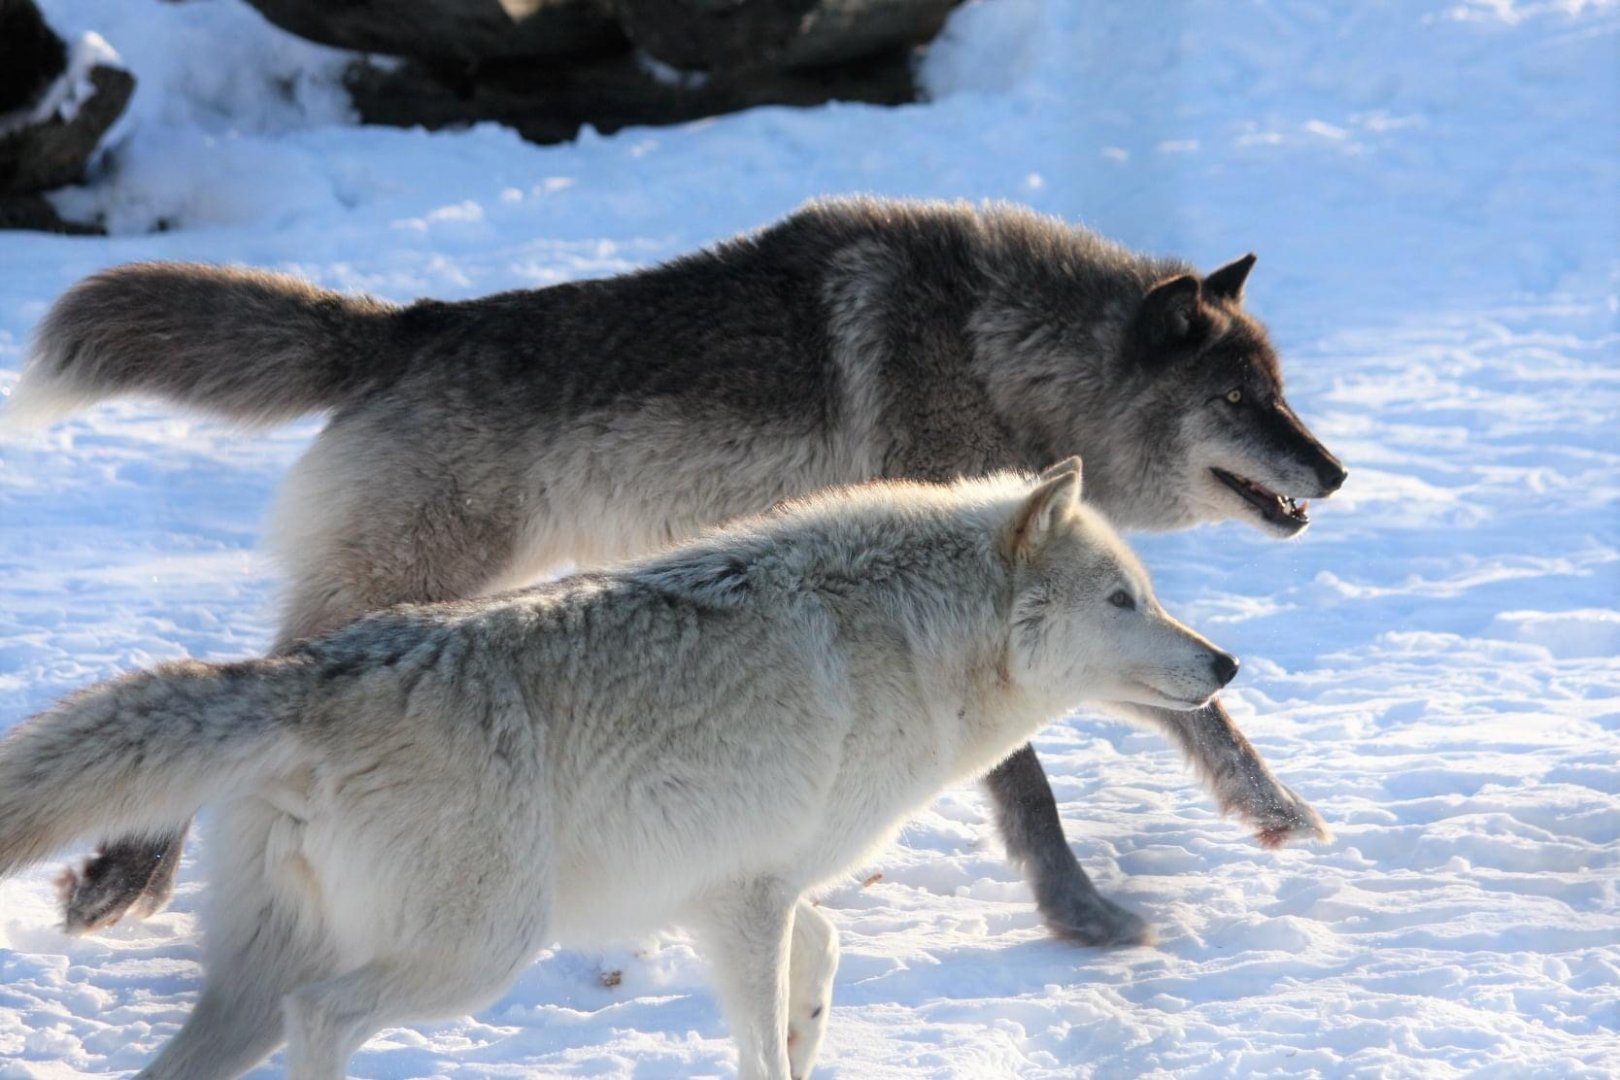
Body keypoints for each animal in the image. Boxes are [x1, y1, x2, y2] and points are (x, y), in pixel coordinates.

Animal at [0, 464, 1239, 1080]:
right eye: (1124, 600)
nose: (1226, 662)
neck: (909, 637)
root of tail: (304, 674)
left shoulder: (742, 892)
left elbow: (820, 961)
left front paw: (814, 1027)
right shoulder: (745, 900)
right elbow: (761, 1047)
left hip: (259, 989)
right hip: (471, 955)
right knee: (323, 1019)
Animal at [7, 196, 1342, 941]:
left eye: (1280, 392)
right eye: (1240, 402)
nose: (1332, 473)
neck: (1004, 357)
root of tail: (415, 323)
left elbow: (1203, 713)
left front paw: (1284, 818)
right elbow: (1035, 794)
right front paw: (1082, 916)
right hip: (408, 588)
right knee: (233, 691)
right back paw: (118, 877)